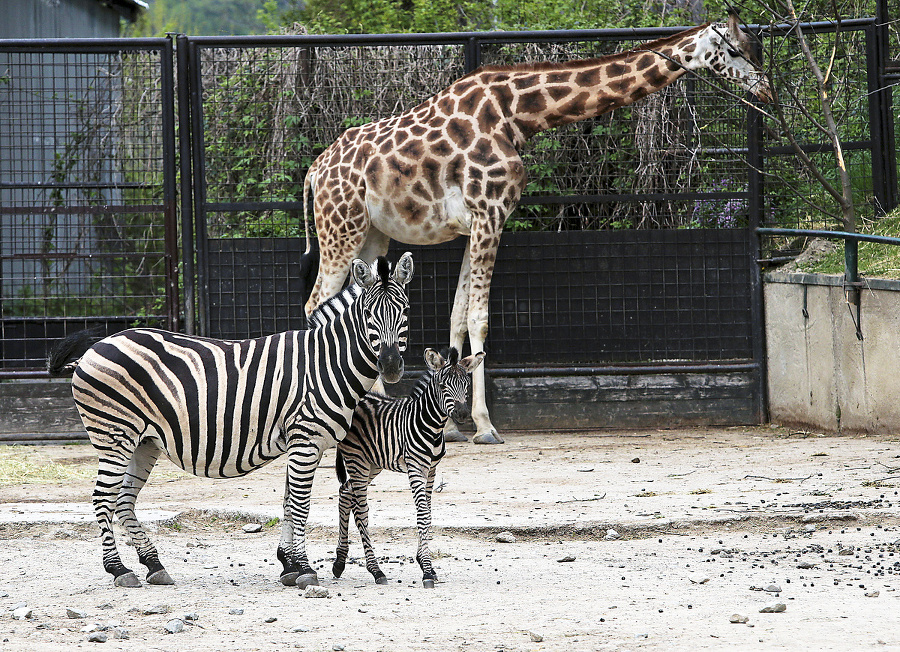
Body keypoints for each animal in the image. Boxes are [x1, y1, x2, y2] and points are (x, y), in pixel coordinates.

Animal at [48, 252, 414, 588]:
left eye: (405, 311)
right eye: (368, 314)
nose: (391, 366)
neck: (328, 362)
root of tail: (96, 345)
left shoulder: (302, 443)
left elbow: (288, 503)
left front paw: (288, 565)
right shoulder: (305, 440)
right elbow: (300, 505)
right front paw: (305, 569)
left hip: (143, 441)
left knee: (123, 500)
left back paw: (153, 564)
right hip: (114, 435)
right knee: (103, 499)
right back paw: (119, 570)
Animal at [302, 15, 772, 446]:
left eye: (756, 48)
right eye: (734, 50)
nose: (767, 90)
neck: (518, 115)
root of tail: (314, 171)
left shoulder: (476, 225)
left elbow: (457, 317)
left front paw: (453, 425)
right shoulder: (491, 215)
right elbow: (479, 320)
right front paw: (485, 426)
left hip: (371, 234)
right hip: (339, 229)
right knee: (315, 305)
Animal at [332, 348, 486, 588]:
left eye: (466, 385)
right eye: (443, 385)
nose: (461, 414)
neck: (431, 427)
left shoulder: (431, 470)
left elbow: (428, 514)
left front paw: (426, 565)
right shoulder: (415, 468)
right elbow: (421, 514)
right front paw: (427, 570)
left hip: (372, 463)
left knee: (345, 492)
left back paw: (339, 562)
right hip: (357, 459)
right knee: (361, 510)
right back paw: (376, 570)